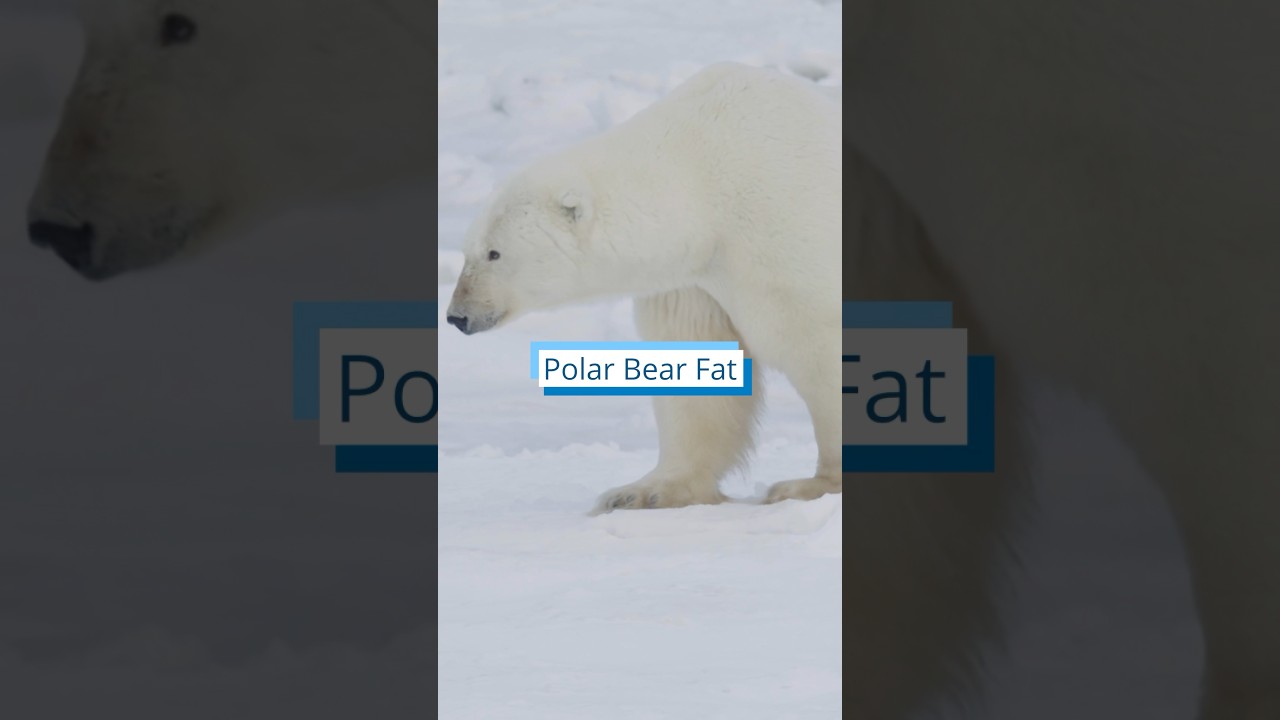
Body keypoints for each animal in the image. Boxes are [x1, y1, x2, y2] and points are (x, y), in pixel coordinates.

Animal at [445, 62, 843, 513]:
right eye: (467, 251)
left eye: (494, 253)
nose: (457, 315)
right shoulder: (692, 278)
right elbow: (694, 360)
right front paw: (641, 492)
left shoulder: (784, 228)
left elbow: (817, 345)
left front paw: (811, 485)